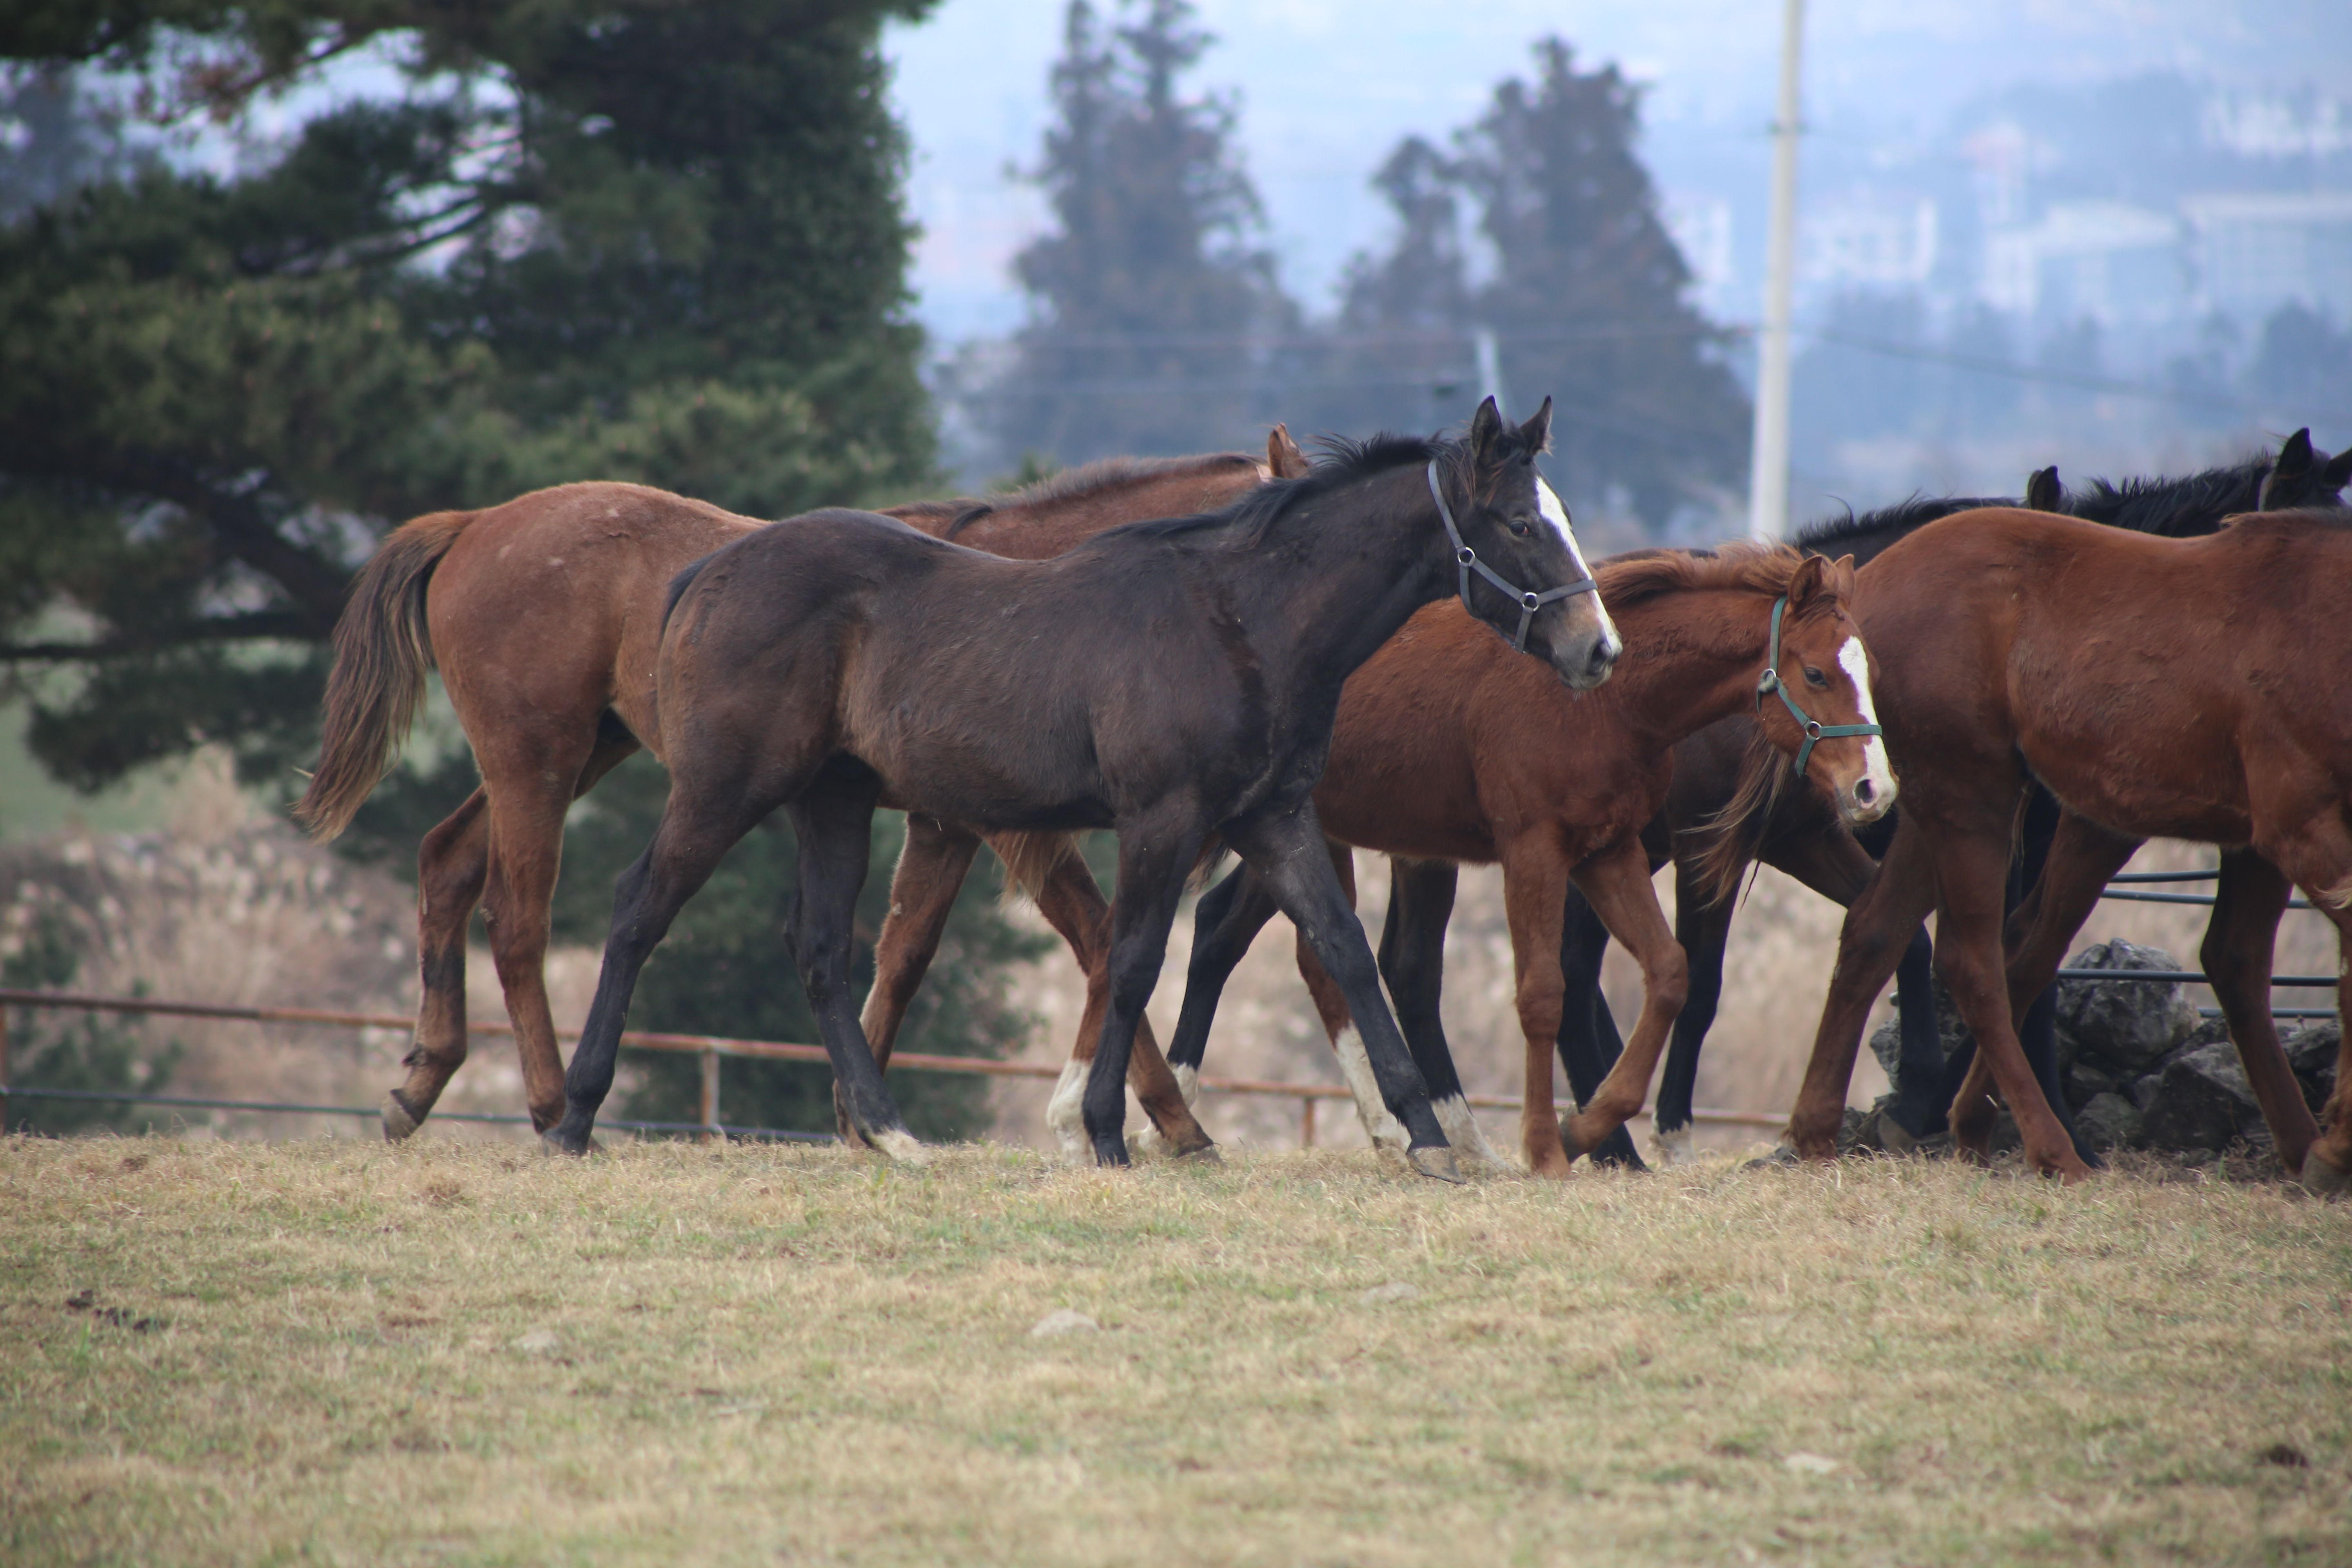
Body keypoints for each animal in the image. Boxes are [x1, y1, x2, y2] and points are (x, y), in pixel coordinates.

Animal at [294, 435, 1307, 1147]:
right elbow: (1099, 939)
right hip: (537, 759)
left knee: (448, 862)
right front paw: (1171, 1122)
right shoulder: (1008, 830)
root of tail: (473, 524)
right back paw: (550, 1105)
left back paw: (423, 1079)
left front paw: (861, 1117)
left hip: (579, 755)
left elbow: (902, 952)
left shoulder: (944, 825)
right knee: (519, 914)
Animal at [541, 399, 1627, 1171]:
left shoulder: (1269, 819)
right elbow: (1133, 957)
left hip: (834, 803)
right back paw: (574, 1116)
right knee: (639, 909)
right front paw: (1109, 1131)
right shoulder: (1159, 820)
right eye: (1522, 523)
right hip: (725, 791)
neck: (1241, 620)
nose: (1599, 650)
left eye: (1562, 519)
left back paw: (890, 1132)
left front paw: (1426, 1137)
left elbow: (1342, 950)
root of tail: (712, 570)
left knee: (819, 952)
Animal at [1147, 545, 1882, 1171]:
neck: (1604, 697)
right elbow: (1543, 994)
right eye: (1816, 672)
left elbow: (1669, 973)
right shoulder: (1536, 851)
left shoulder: (1609, 851)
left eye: (1869, 669)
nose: (1872, 788)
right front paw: (1546, 1148)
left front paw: (1586, 1128)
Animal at [1768, 505, 2352, 1189]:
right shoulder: (2297, 824)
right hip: (1976, 801)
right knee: (1973, 963)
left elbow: (2240, 959)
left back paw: (1823, 1132)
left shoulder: (2257, 842)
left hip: (1929, 807)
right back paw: (2049, 1147)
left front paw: (2314, 1149)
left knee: (1876, 933)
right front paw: (2332, 1152)